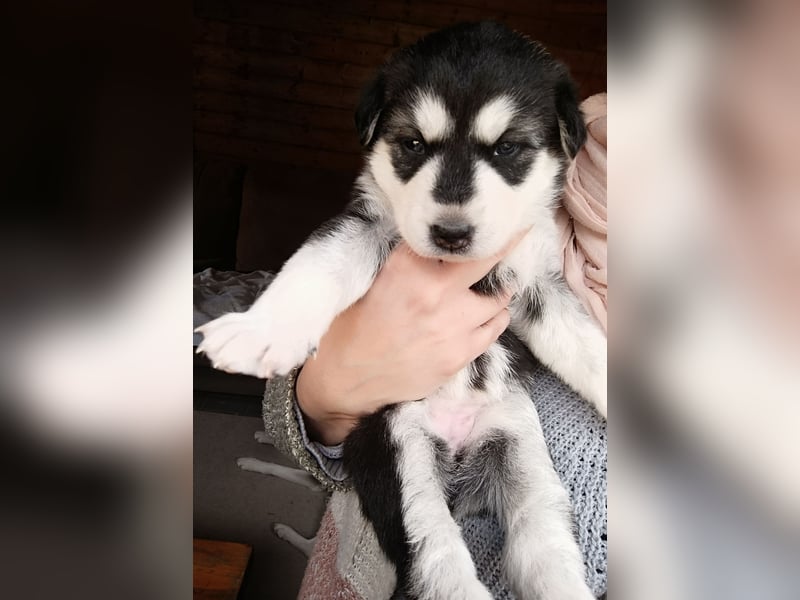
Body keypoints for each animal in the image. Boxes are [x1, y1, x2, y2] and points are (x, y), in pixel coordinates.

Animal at [197, 22, 606, 600]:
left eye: (508, 148)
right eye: (412, 144)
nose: (451, 234)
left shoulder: (536, 287)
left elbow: (588, 347)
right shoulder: (364, 226)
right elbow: (317, 265)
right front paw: (261, 329)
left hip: (524, 458)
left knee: (541, 543)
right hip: (402, 468)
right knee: (439, 562)